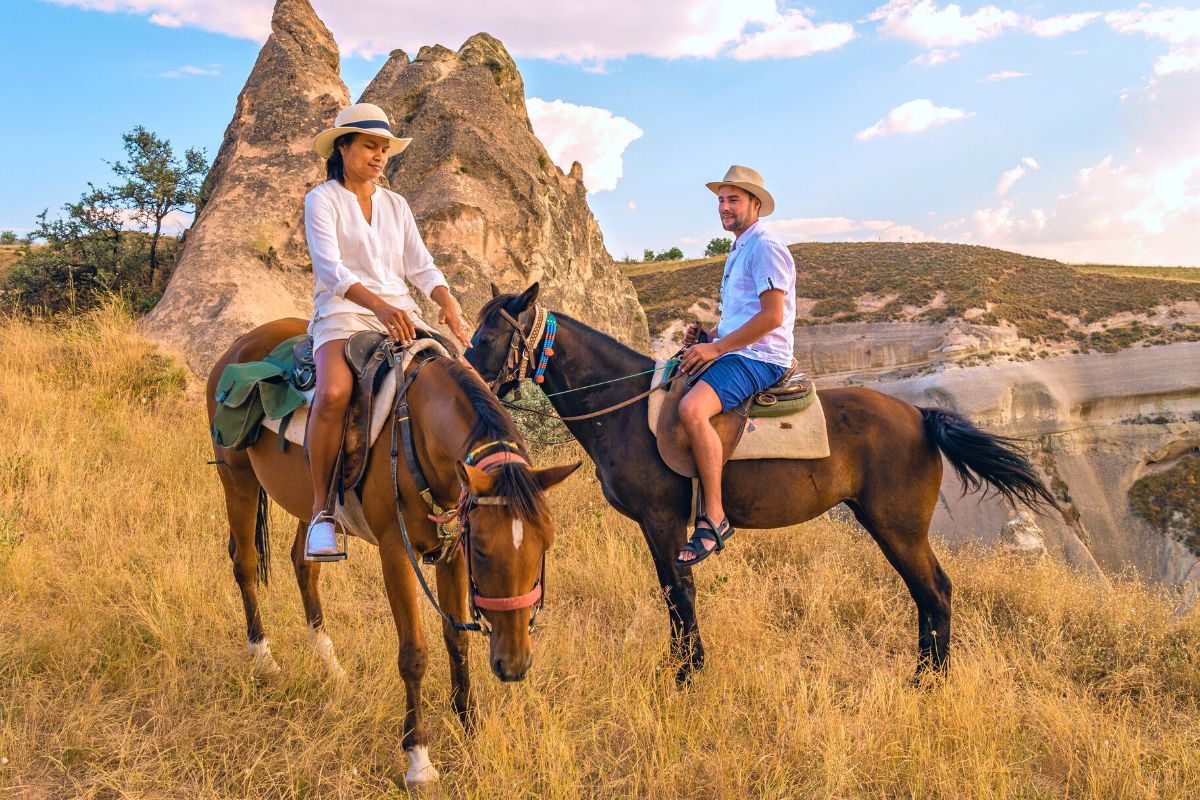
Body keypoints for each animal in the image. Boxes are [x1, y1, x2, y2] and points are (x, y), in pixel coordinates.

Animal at [207, 318, 580, 785]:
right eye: (482, 551)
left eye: (545, 545)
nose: (513, 666)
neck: (416, 429)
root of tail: (236, 347)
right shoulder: (396, 552)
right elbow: (414, 654)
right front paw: (419, 759)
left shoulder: (449, 552)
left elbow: (457, 638)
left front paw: (470, 727)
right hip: (236, 480)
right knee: (245, 564)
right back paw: (263, 658)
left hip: (310, 502)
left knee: (303, 564)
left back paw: (330, 665)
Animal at [465, 284, 1060, 684]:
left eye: (489, 335)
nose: (467, 375)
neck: (629, 409)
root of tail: (919, 413)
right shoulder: (658, 527)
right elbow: (673, 595)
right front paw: (681, 666)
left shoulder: (664, 521)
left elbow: (679, 593)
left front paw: (687, 676)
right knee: (928, 595)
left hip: (899, 527)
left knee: (935, 591)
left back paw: (927, 683)